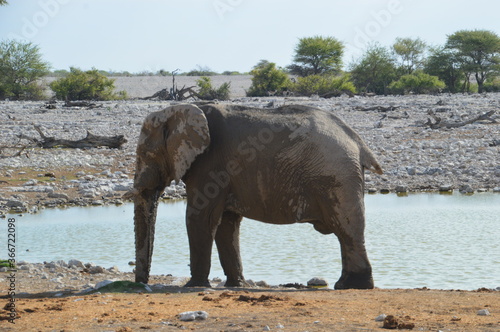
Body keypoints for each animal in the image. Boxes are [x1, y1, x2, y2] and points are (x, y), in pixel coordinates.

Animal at [126, 102, 382, 290]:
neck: (177, 111)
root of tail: (358, 142)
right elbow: (226, 223)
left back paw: (352, 286)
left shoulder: (210, 164)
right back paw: (348, 285)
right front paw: (235, 285)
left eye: (145, 154)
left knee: (347, 229)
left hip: (337, 175)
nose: (142, 284)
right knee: (346, 231)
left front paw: (194, 286)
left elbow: (200, 217)